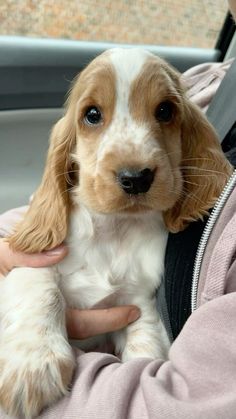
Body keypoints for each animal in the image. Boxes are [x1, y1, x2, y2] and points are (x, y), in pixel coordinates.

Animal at [0, 48, 232, 416]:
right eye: (92, 115)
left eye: (165, 111)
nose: (135, 178)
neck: (113, 230)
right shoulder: (33, 260)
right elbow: (42, 287)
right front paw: (32, 366)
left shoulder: (138, 301)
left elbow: (145, 344)